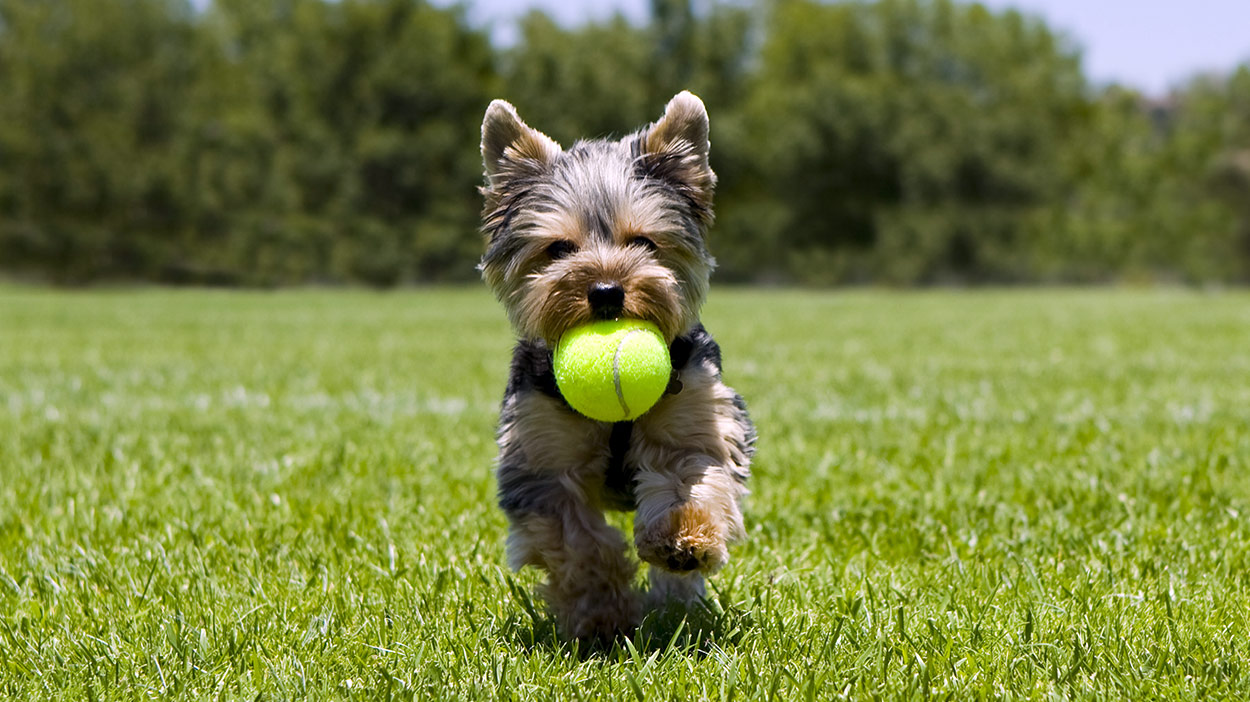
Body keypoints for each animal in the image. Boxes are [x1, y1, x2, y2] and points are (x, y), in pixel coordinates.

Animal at [475, 89, 750, 644]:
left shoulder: (697, 417)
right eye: (559, 248)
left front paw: (682, 539)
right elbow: (579, 542)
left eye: (643, 241)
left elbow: (688, 478)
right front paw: (603, 617)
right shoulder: (541, 460)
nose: (605, 291)